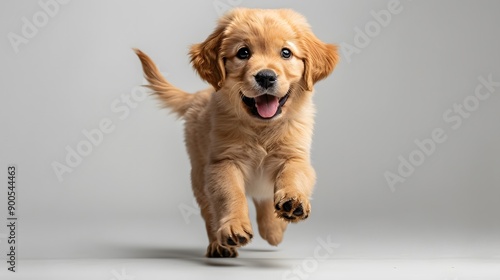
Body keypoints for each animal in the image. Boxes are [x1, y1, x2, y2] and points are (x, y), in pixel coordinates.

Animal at [136, 8, 340, 258]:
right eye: (243, 53)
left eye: (286, 53)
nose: (265, 76)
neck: (261, 128)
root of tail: (198, 95)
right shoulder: (223, 163)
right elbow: (231, 195)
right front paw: (234, 227)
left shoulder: (295, 155)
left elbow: (294, 175)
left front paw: (292, 203)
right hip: (199, 175)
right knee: (210, 211)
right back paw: (219, 245)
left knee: (264, 198)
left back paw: (273, 229)